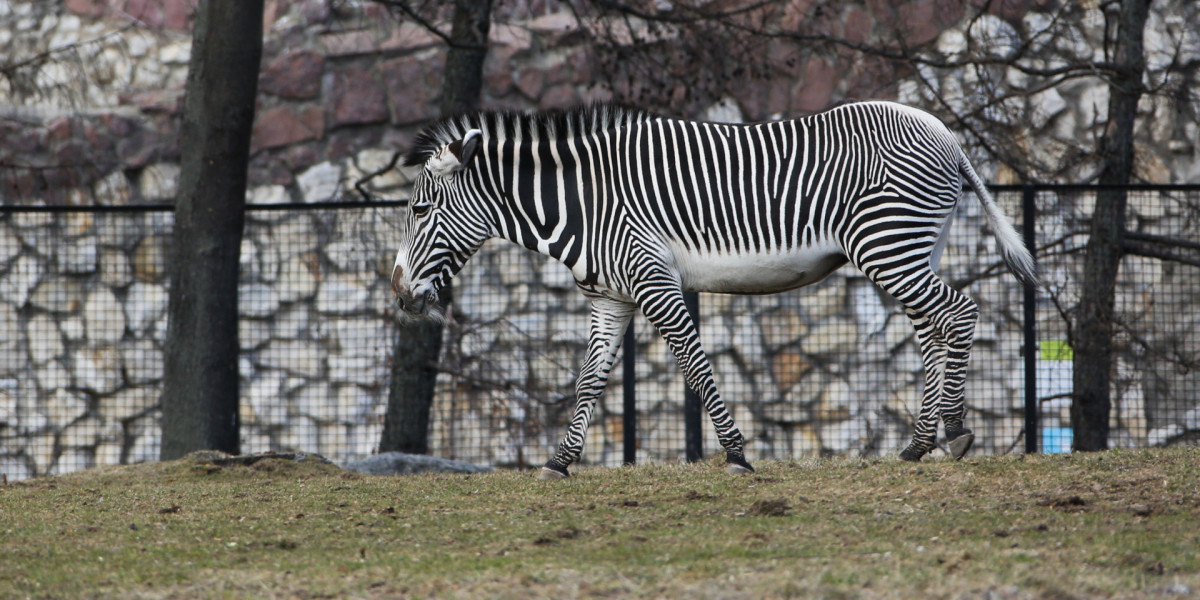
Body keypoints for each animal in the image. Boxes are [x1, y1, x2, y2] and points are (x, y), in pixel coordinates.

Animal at [388, 100, 1036, 480]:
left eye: (419, 210)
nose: (397, 291)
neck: (584, 203)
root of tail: (944, 131)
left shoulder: (653, 280)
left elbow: (695, 367)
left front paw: (737, 455)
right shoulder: (610, 297)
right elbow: (589, 381)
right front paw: (559, 462)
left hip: (887, 244)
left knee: (959, 312)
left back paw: (954, 432)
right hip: (910, 246)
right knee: (932, 327)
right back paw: (919, 445)